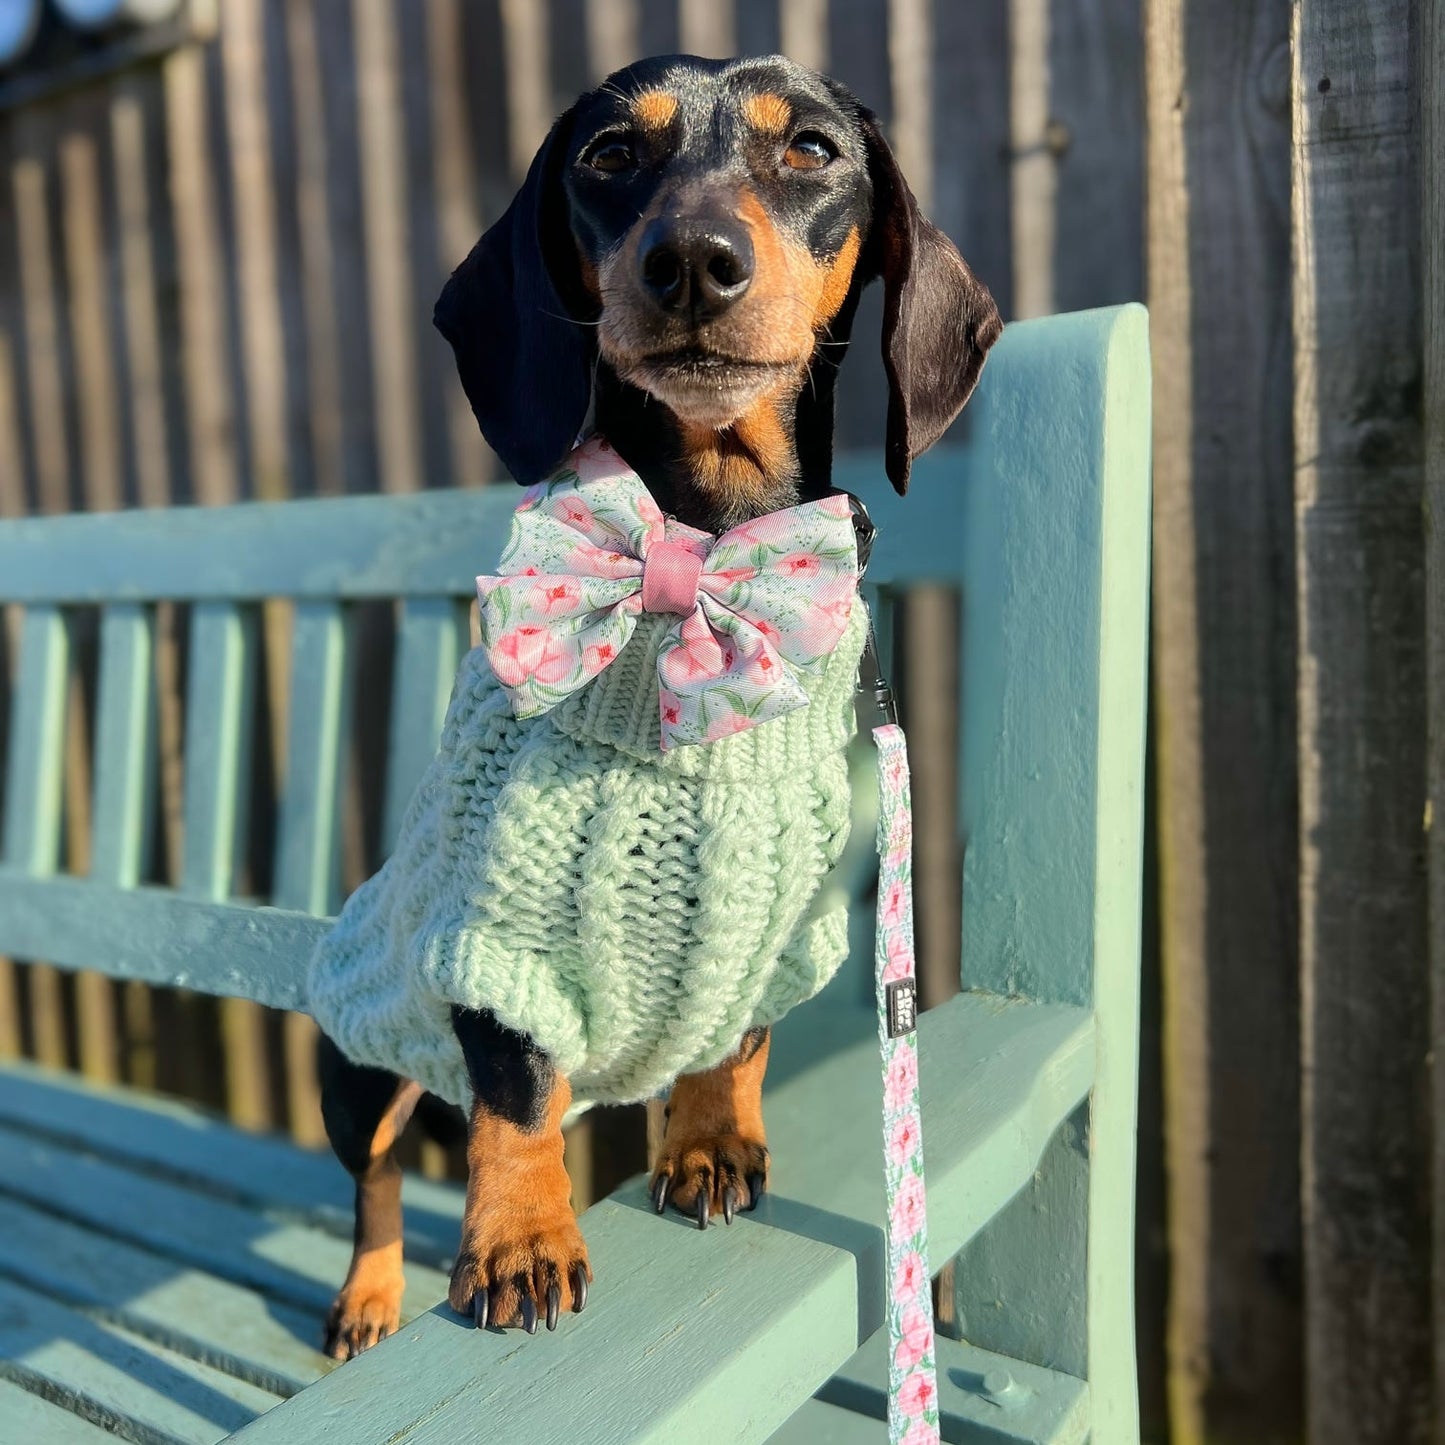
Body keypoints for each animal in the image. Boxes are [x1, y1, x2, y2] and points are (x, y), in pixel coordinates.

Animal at [317, 45, 999, 1352]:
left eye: (811, 150)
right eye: (608, 155)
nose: (690, 260)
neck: (700, 546)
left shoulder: (775, 930)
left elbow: (734, 1040)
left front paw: (710, 1139)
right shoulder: (493, 937)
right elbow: (515, 1094)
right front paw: (521, 1233)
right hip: (357, 1061)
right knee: (375, 1174)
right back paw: (371, 1294)